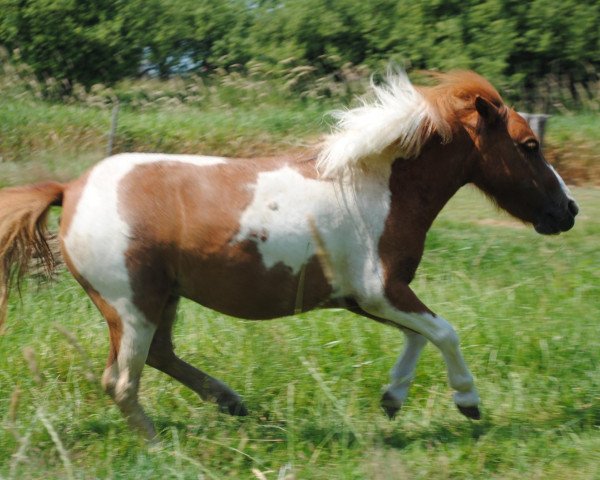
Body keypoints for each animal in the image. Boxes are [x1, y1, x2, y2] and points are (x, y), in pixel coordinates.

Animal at [1, 68, 580, 438]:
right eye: (529, 146)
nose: (569, 211)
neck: (375, 188)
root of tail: (69, 189)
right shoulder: (381, 291)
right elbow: (445, 332)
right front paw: (468, 402)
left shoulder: (365, 298)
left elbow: (419, 336)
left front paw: (392, 400)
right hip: (130, 306)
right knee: (122, 382)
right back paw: (160, 445)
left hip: (162, 299)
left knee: (159, 358)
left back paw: (230, 402)